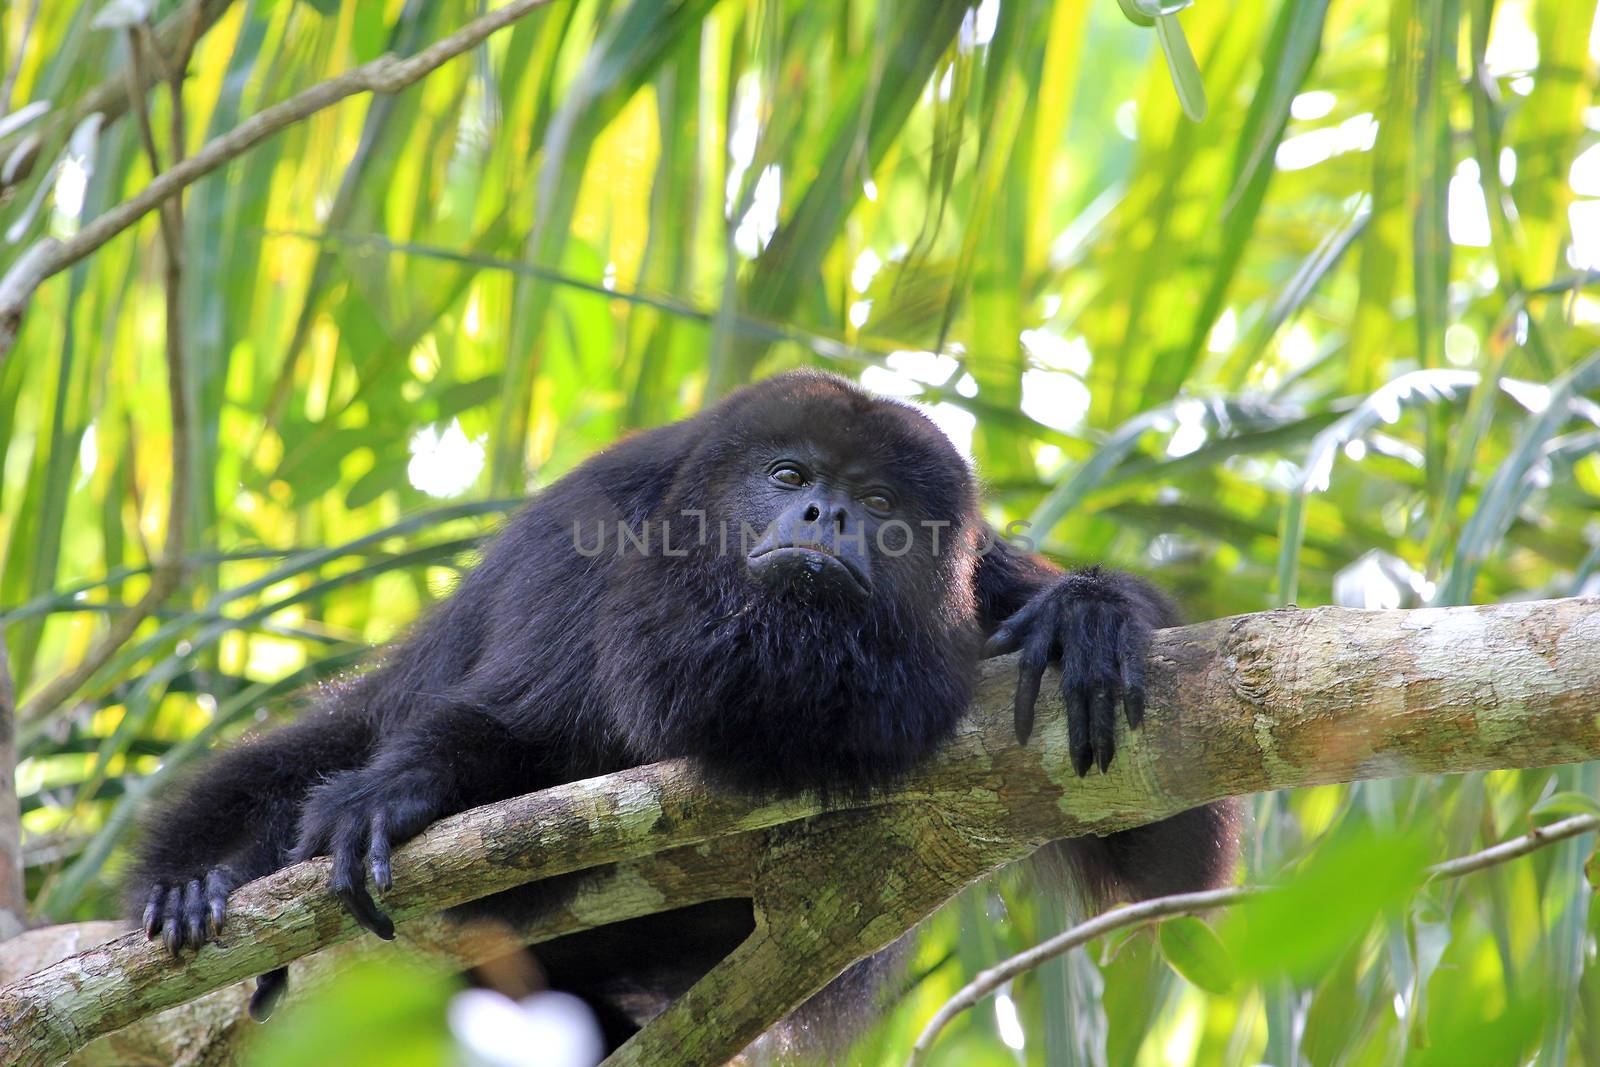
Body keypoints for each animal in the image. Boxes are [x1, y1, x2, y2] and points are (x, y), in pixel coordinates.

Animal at [131, 367, 1241, 1043]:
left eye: (881, 503)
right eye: (788, 473)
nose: (826, 512)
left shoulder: (976, 585)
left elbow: (1166, 844)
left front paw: (1087, 616)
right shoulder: (588, 539)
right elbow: (506, 729)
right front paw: (393, 796)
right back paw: (200, 879)